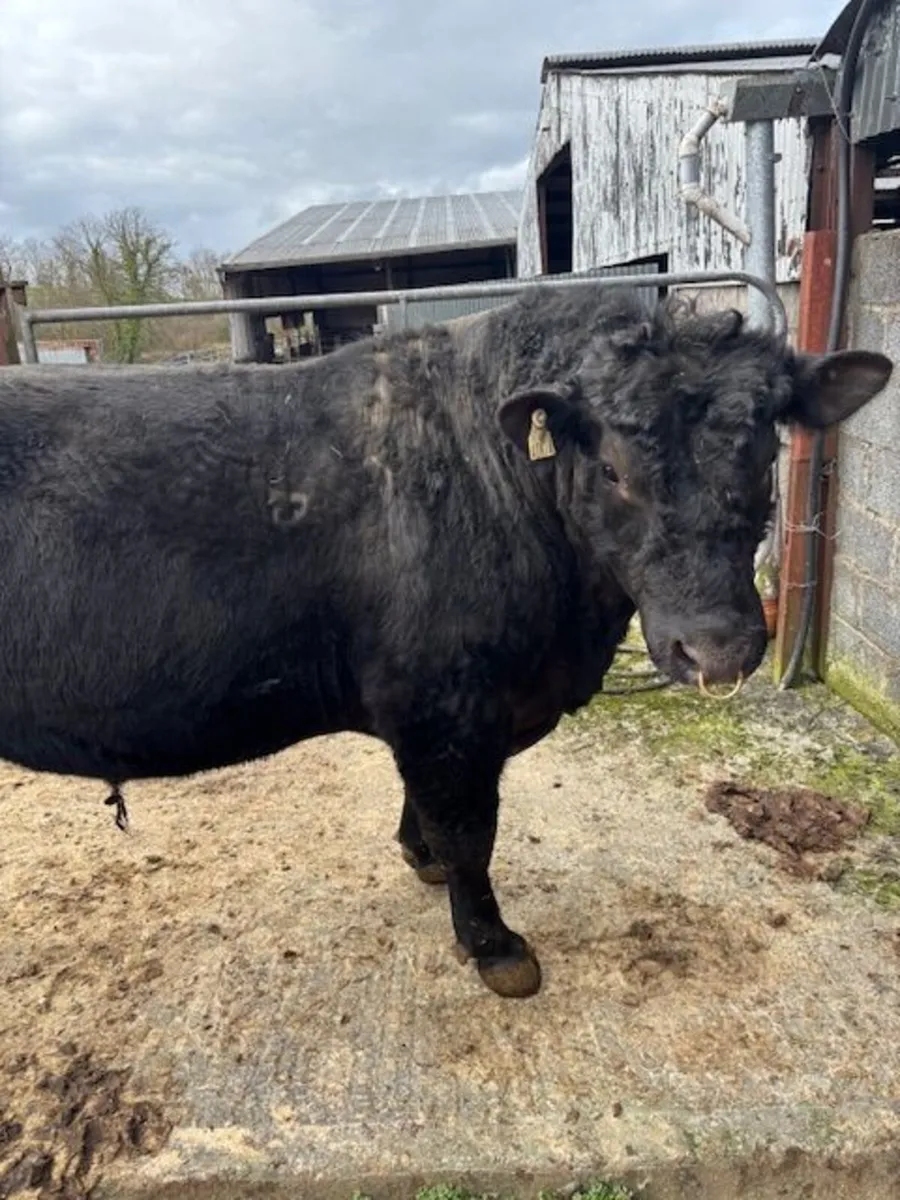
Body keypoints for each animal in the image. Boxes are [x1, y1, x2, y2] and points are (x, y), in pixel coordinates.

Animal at [0, 284, 891, 997]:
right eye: (610, 470)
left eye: (766, 449)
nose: (719, 651)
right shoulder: (448, 706)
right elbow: (470, 832)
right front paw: (495, 946)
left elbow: (430, 814)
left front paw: (418, 856)